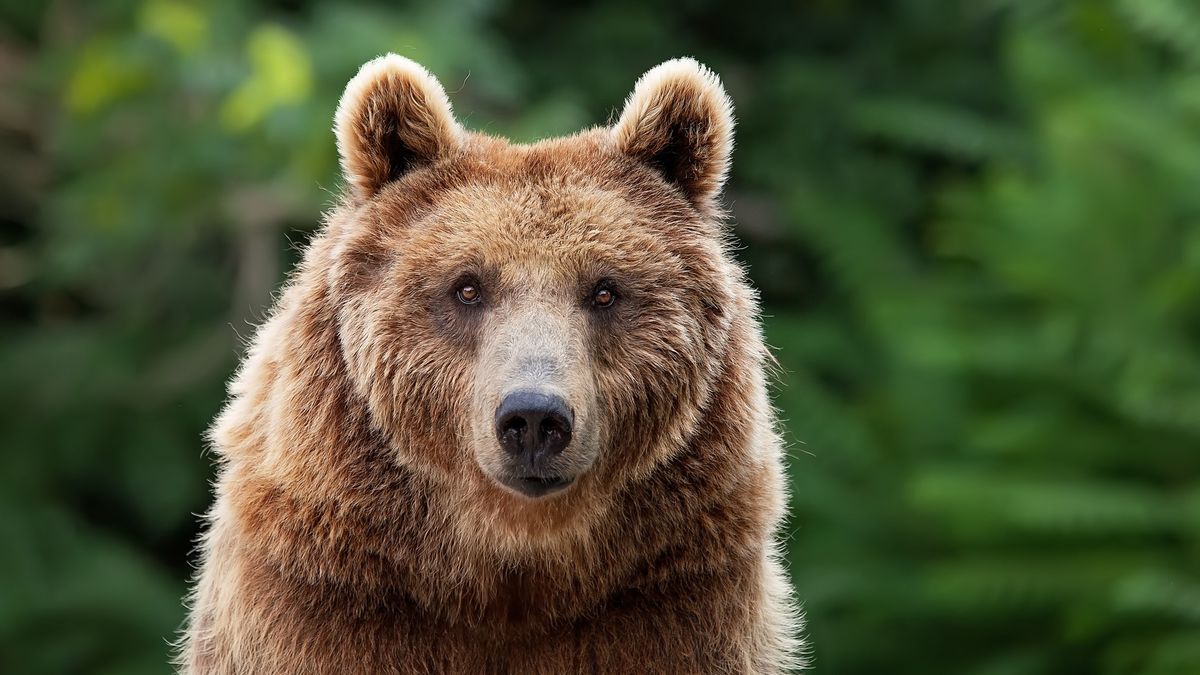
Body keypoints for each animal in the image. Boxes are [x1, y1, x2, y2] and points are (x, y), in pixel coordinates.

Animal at [177, 53, 806, 672]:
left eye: (605, 291)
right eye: (468, 287)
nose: (534, 417)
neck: (505, 558)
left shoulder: (675, 602)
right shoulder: (320, 601)